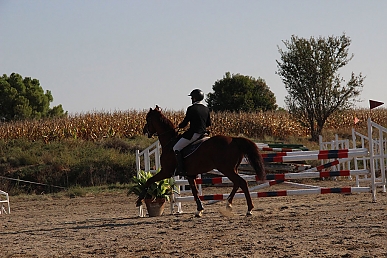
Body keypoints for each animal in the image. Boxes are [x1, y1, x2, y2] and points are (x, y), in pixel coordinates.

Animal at [136, 106, 266, 217]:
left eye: (147, 119)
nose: (144, 131)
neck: (170, 142)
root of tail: (234, 139)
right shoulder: (190, 175)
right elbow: (194, 192)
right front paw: (199, 210)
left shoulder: (166, 172)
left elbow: (148, 181)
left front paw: (139, 201)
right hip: (232, 169)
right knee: (237, 183)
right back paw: (228, 204)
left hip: (226, 169)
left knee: (242, 182)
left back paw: (249, 209)